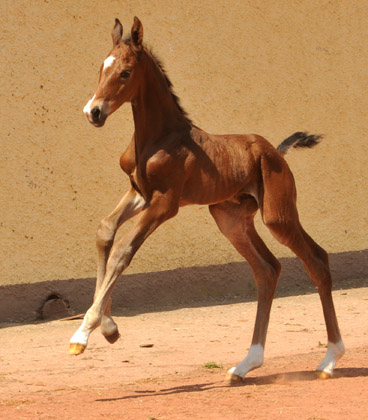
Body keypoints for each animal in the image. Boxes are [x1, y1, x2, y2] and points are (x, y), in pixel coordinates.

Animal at [69, 17, 344, 380]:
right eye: (102, 67)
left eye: (125, 72)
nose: (94, 112)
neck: (159, 137)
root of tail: (275, 151)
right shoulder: (139, 193)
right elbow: (105, 232)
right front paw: (109, 327)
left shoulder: (165, 202)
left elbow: (123, 251)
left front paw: (84, 333)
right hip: (230, 219)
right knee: (267, 269)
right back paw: (247, 363)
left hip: (278, 215)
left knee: (317, 260)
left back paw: (329, 359)